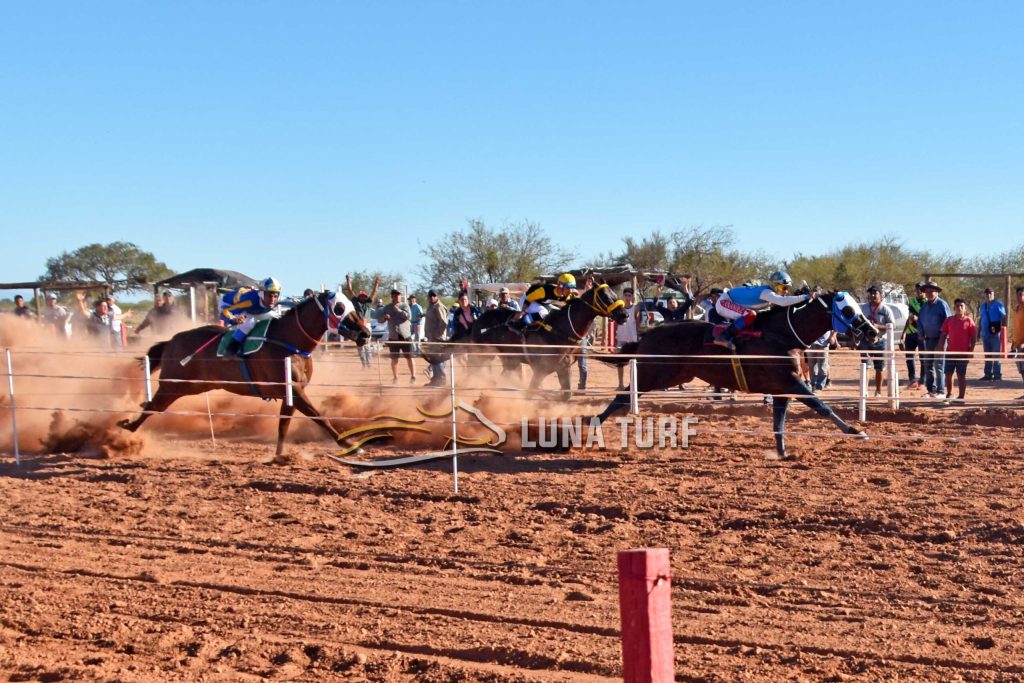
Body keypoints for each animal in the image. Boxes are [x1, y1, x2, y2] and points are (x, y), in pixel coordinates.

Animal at [118, 290, 372, 456]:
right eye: (339, 308)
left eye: (353, 306)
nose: (365, 333)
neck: (288, 341)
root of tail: (171, 340)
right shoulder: (295, 391)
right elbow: (319, 416)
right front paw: (350, 444)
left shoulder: (291, 391)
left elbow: (284, 423)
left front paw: (279, 455)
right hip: (175, 384)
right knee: (153, 406)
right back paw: (127, 427)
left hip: (193, 385)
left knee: (153, 406)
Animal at [419, 284, 626, 395]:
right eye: (605, 296)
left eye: (614, 294)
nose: (624, 315)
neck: (562, 328)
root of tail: (477, 322)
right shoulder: (541, 369)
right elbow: (532, 392)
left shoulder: (563, 367)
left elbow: (565, 395)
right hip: (483, 355)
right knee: (471, 376)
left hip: (508, 359)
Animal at [598, 288, 876, 458]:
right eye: (848, 309)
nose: (872, 331)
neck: (782, 335)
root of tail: (646, 334)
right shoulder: (790, 381)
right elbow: (821, 406)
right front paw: (855, 431)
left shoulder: (782, 388)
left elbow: (779, 422)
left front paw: (781, 453)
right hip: (651, 373)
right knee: (621, 398)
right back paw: (593, 426)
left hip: (674, 376)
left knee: (625, 397)